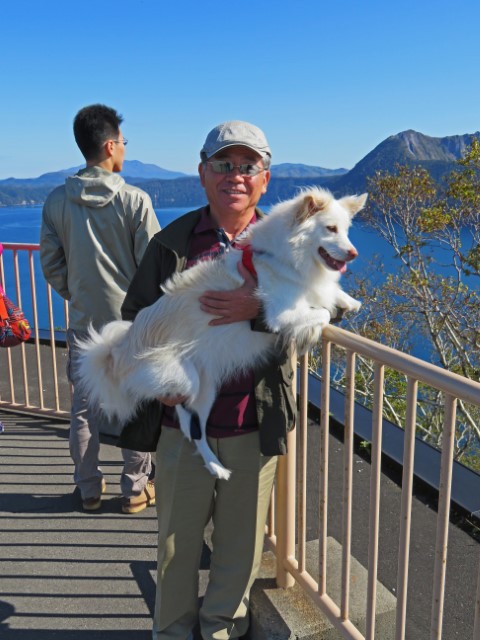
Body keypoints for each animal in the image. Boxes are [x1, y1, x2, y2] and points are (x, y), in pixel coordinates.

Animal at [79, 188, 366, 478]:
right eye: (330, 229)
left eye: (346, 230)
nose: (354, 253)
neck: (284, 256)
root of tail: (117, 355)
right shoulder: (279, 314)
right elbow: (322, 313)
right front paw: (321, 320)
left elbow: (327, 295)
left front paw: (349, 301)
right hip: (188, 379)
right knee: (189, 422)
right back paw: (217, 468)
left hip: (207, 387)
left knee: (189, 423)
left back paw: (214, 464)